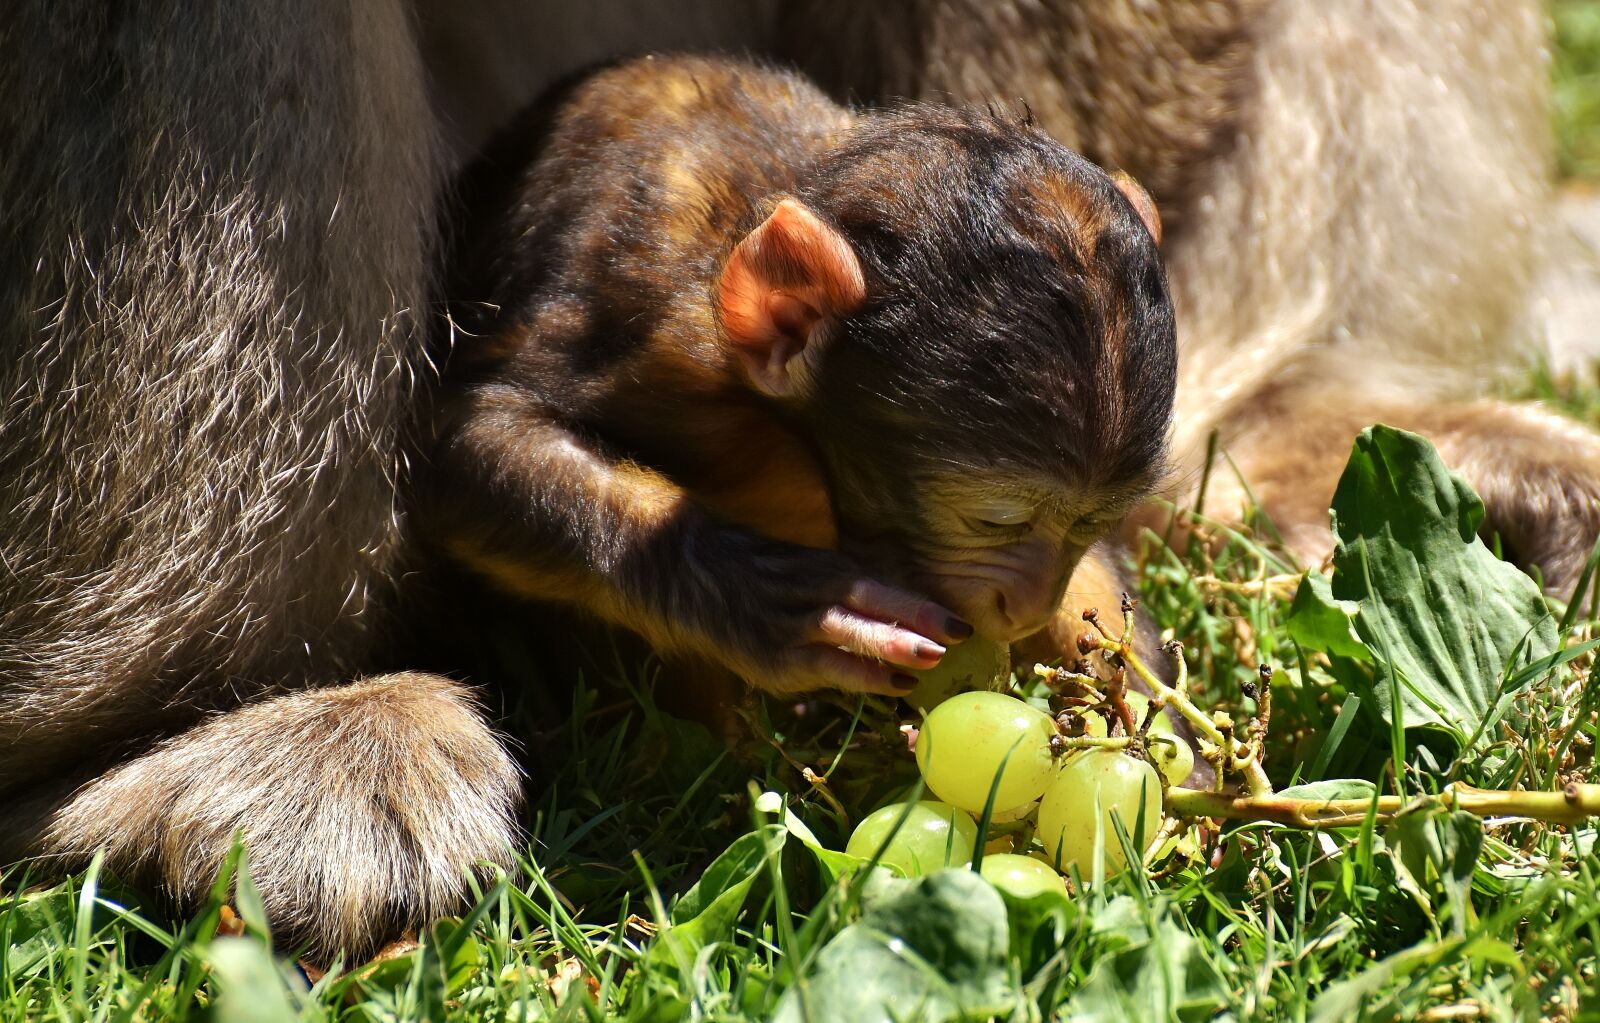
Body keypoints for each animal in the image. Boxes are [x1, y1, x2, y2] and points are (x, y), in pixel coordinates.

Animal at [425, 54, 1174, 704]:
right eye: (995, 521)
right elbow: (464, 443)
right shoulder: (653, 320)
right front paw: (760, 598)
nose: (1026, 608)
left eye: (1089, 523)